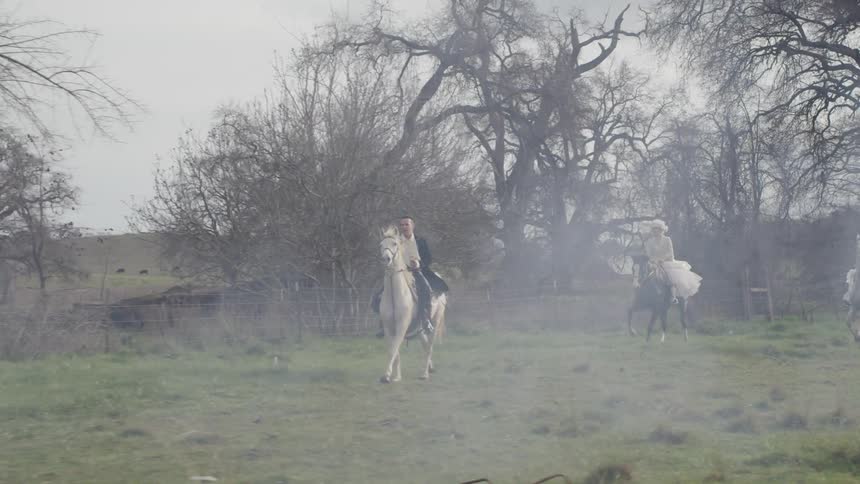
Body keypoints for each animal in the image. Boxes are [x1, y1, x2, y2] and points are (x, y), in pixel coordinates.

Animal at [378, 226, 447, 383]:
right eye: (381, 244)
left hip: (435, 321)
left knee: (429, 346)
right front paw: (396, 377)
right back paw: (429, 368)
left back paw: (424, 374)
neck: (395, 295)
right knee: (425, 344)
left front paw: (386, 375)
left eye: (395, 244)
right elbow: (393, 349)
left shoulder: (402, 326)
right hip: (419, 327)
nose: (386, 259)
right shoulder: (388, 327)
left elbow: (394, 348)